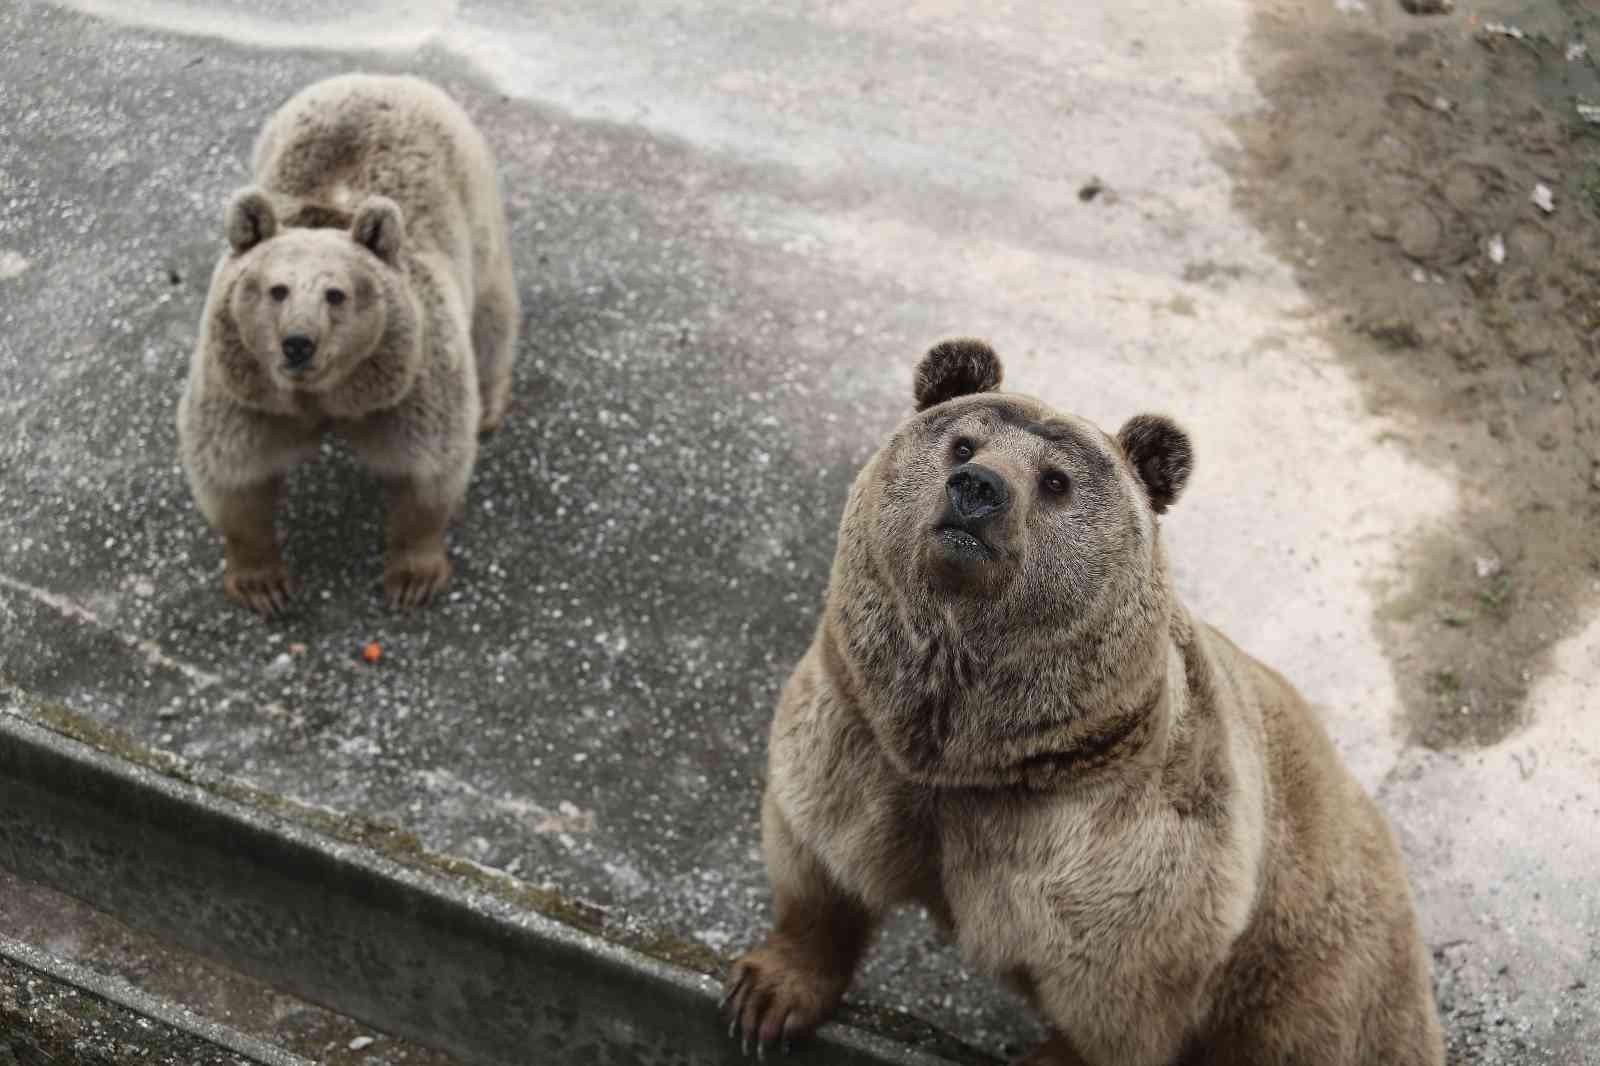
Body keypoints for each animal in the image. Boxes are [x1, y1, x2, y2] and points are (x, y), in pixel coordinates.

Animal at [180, 72, 518, 614]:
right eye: (277, 289)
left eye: (335, 294)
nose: (298, 343)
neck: (325, 398)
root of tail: (381, 77)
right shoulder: (243, 390)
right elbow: (233, 475)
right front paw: (263, 584)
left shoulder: (411, 382)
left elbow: (429, 470)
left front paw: (412, 577)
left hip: (477, 205)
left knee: (492, 313)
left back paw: (488, 406)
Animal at [720, 340, 1446, 1062]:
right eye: (962, 443)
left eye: (1055, 481)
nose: (978, 490)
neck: (973, 752)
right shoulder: (861, 735)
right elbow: (818, 856)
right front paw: (766, 994)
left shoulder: (1119, 844)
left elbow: (1113, 987)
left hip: (1321, 972)